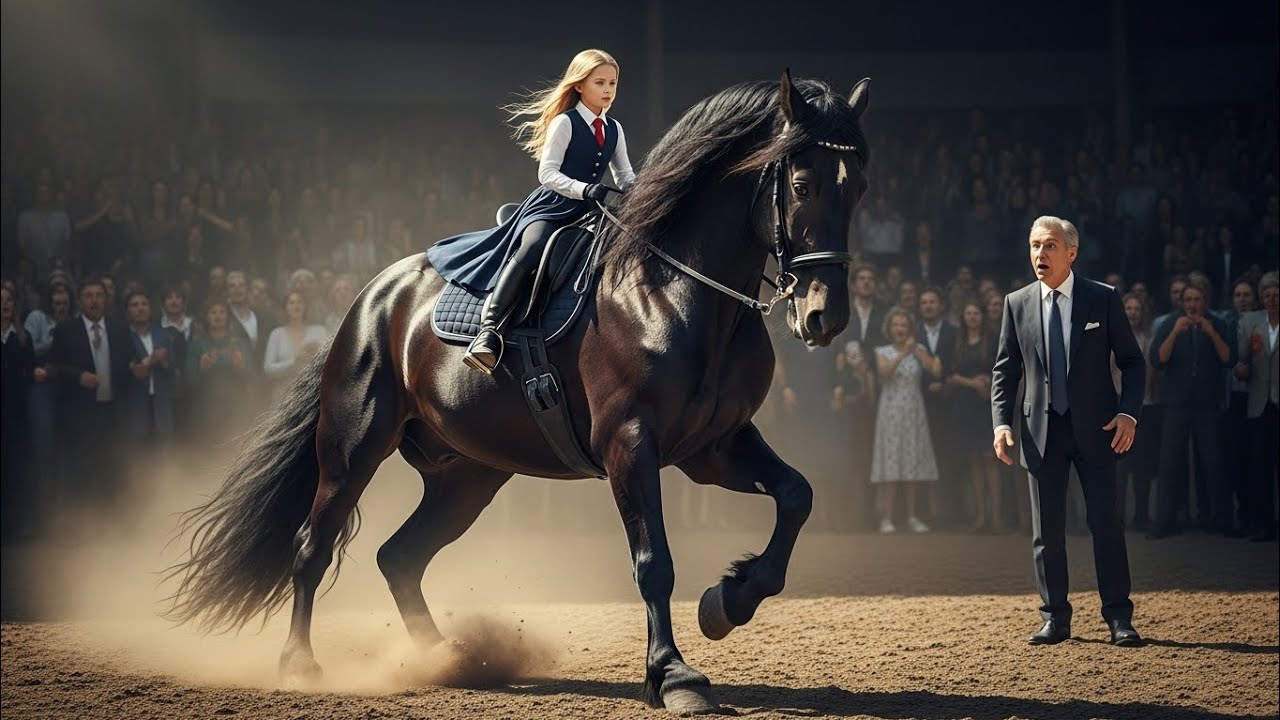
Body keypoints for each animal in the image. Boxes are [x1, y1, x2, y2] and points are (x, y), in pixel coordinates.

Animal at [165, 71, 871, 715]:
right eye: (801, 186)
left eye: (859, 187)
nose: (825, 316)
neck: (672, 292)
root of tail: (372, 299)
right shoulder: (630, 445)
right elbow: (654, 561)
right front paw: (674, 676)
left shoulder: (713, 447)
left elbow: (797, 496)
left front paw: (728, 601)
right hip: (351, 451)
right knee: (312, 547)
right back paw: (300, 664)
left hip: (467, 477)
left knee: (400, 557)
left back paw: (448, 658)